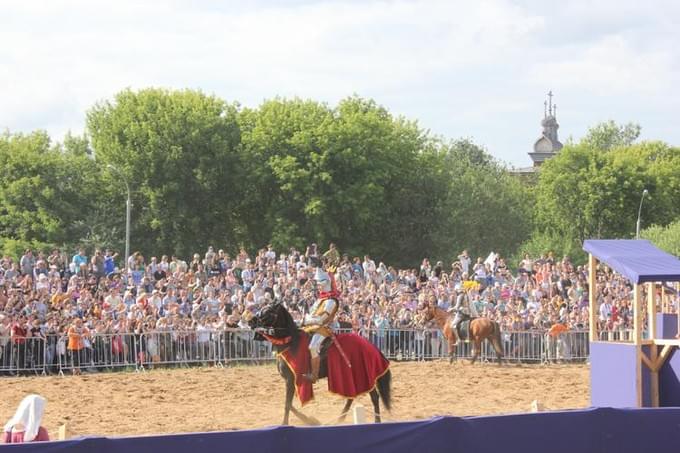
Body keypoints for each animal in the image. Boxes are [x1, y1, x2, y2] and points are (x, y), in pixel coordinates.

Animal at [250, 302, 390, 426]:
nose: (251, 321)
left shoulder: (290, 379)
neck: (291, 343)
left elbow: (287, 404)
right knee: (352, 397)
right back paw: (340, 419)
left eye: (268, 311)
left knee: (374, 397)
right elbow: (290, 404)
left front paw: (287, 424)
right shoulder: (291, 381)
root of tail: (371, 345)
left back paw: (376, 421)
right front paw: (311, 420)